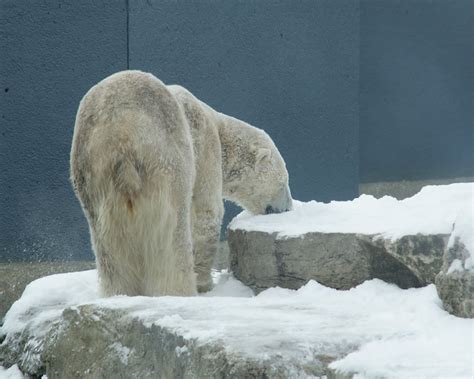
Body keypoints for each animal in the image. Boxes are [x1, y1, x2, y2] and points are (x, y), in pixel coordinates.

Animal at [71, 70, 292, 296]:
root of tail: (122, 134)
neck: (219, 128)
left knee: (108, 244)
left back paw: (119, 293)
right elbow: (207, 213)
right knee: (171, 234)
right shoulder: (205, 147)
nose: (288, 208)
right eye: (284, 182)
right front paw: (204, 283)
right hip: (166, 161)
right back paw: (179, 290)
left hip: (92, 174)